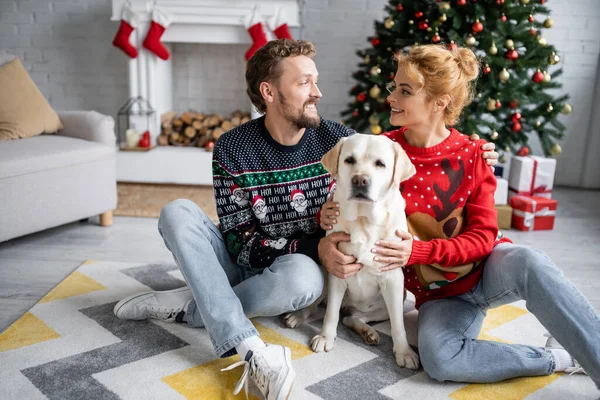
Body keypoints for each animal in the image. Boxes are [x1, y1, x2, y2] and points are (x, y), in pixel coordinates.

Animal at [284, 134, 418, 368]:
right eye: (349, 160)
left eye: (380, 164)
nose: (360, 180)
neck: (364, 219)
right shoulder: (338, 270)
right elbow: (330, 314)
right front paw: (326, 337)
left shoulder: (393, 280)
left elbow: (398, 325)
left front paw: (404, 352)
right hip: (325, 275)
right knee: (321, 308)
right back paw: (298, 316)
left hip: (393, 300)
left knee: (352, 317)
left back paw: (368, 332)